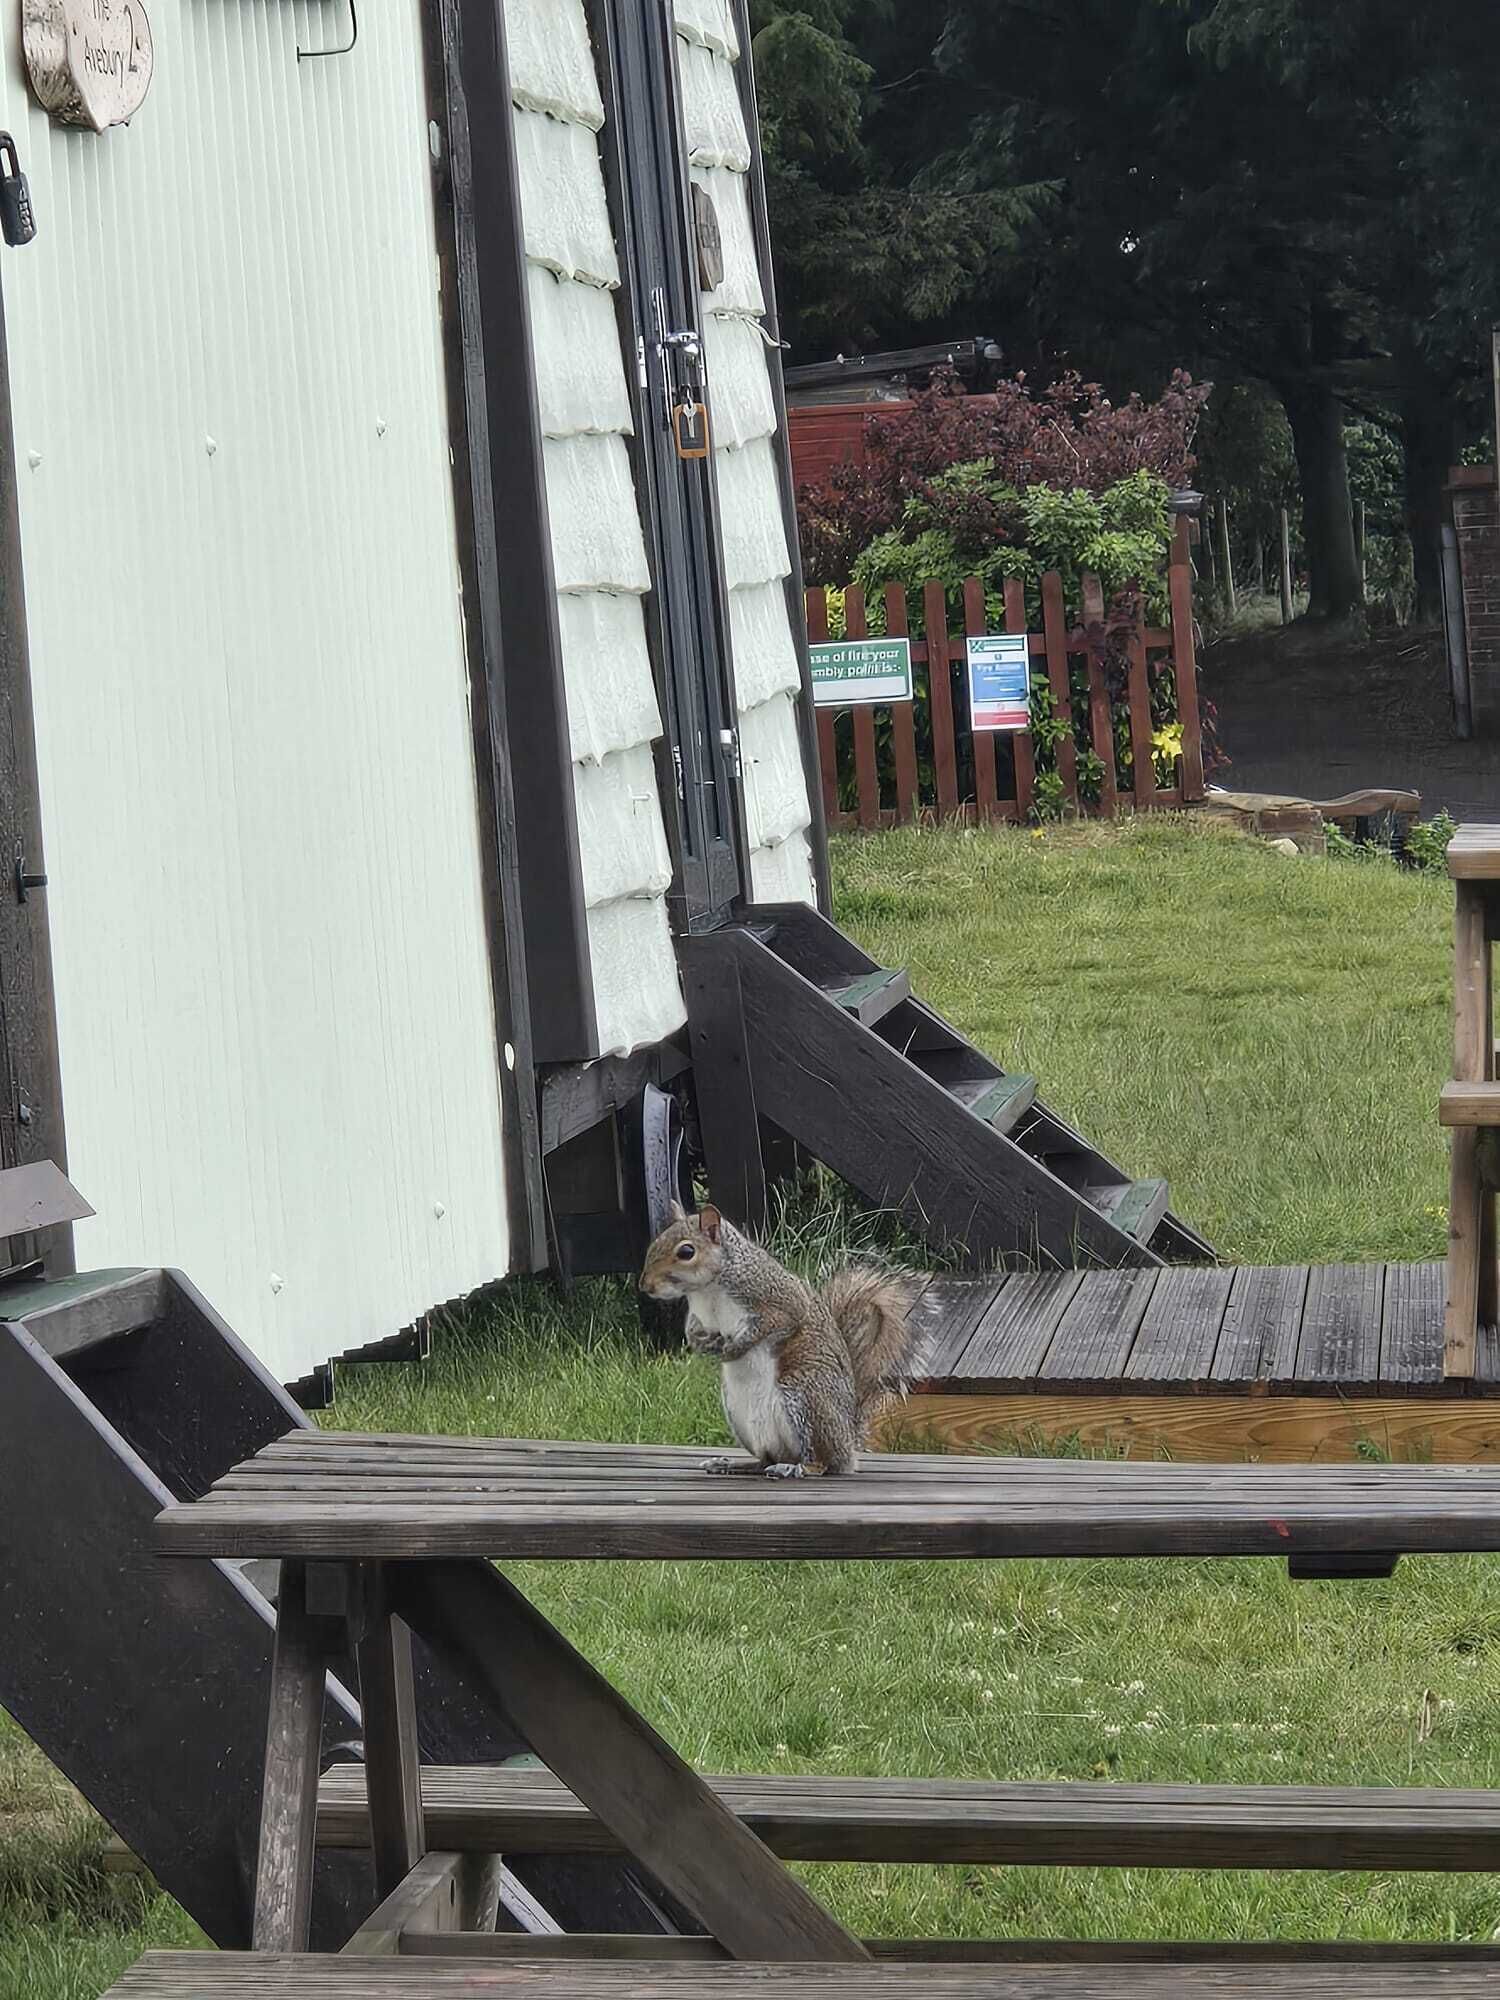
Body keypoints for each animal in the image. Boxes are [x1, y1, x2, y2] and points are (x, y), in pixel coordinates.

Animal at [639, 1202, 916, 1478]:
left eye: (686, 1251)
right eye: (656, 1242)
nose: (645, 1285)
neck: (707, 1290)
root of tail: (847, 1443)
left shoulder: (778, 1300)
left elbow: (773, 1325)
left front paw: (734, 1350)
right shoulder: (700, 1314)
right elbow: (693, 1329)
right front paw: (698, 1343)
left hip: (806, 1398)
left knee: (821, 1462)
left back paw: (796, 1467)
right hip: (740, 1415)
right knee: (765, 1459)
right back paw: (733, 1464)